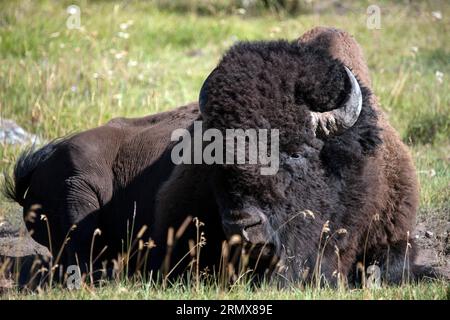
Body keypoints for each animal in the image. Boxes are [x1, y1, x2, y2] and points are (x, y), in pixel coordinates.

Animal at [4, 28, 426, 288]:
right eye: (217, 156)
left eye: (296, 152)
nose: (243, 224)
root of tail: (38, 167)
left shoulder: (395, 237)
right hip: (78, 193)